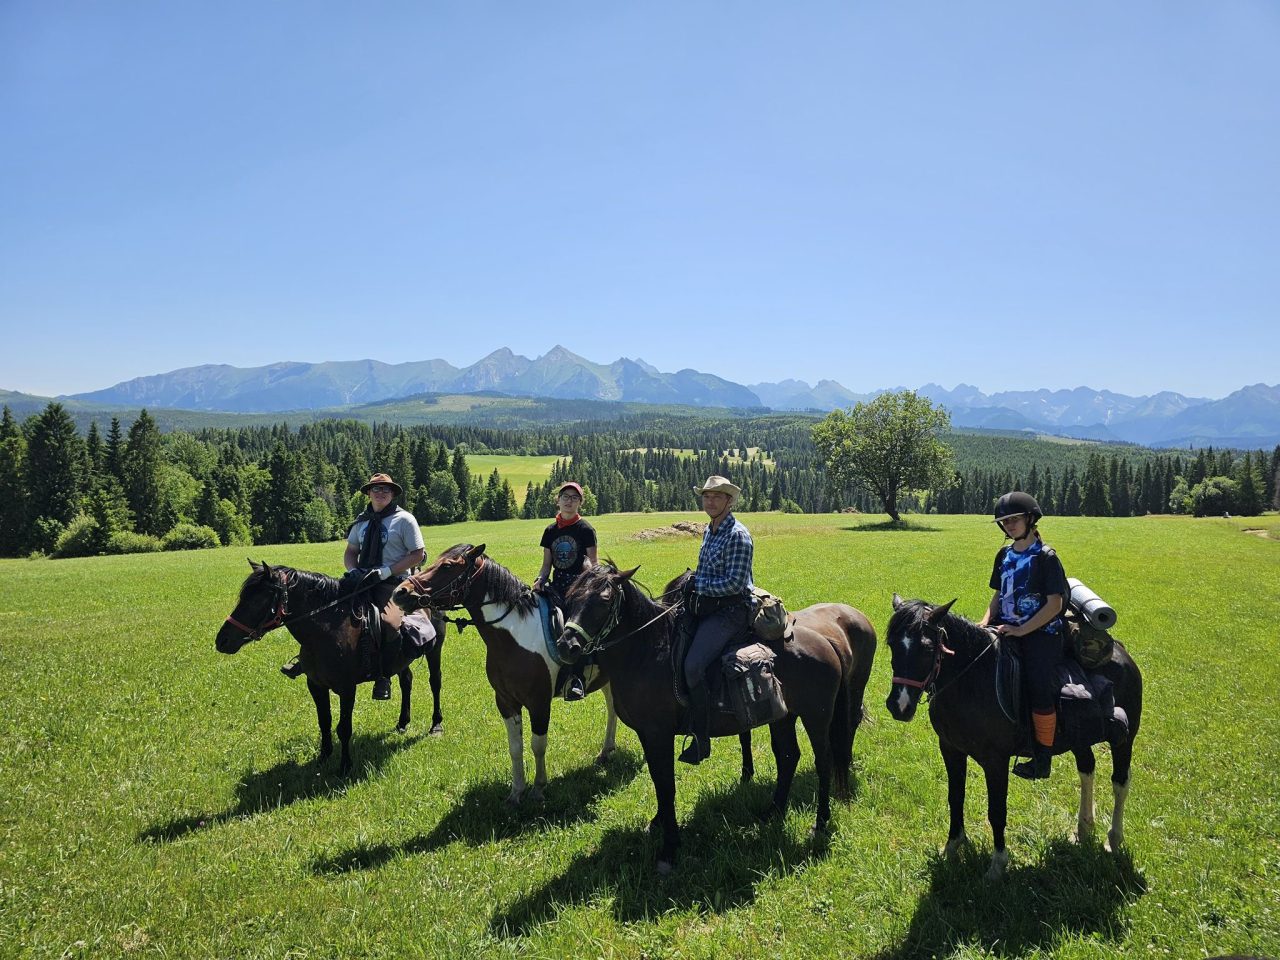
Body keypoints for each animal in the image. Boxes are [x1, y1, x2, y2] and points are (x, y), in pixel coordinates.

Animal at [214, 560, 445, 777]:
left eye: (258, 600)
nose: (222, 641)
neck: (326, 631)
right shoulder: (315, 685)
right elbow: (324, 721)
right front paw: (323, 757)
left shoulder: (347, 688)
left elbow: (344, 728)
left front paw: (345, 766)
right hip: (401, 661)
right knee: (407, 681)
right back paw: (402, 722)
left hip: (435, 651)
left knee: (435, 683)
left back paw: (436, 725)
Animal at [555, 563, 877, 873]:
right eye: (570, 597)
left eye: (604, 600)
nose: (566, 646)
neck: (648, 653)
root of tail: (826, 640)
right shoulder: (647, 735)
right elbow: (659, 781)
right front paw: (659, 822)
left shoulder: (659, 734)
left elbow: (666, 784)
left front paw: (669, 848)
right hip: (784, 717)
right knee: (788, 757)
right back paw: (772, 811)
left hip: (816, 716)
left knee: (824, 762)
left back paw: (820, 823)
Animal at [884, 594, 1143, 880]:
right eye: (892, 644)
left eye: (928, 649)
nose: (899, 706)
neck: (971, 680)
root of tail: (1121, 652)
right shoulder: (950, 749)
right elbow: (955, 798)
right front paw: (952, 847)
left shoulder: (995, 760)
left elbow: (997, 811)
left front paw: (997, 864)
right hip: (1080, 737)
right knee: (1087, 769)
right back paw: (1084, 828)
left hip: (1125, 739)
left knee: (1120, 782)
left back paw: (1114, 839)